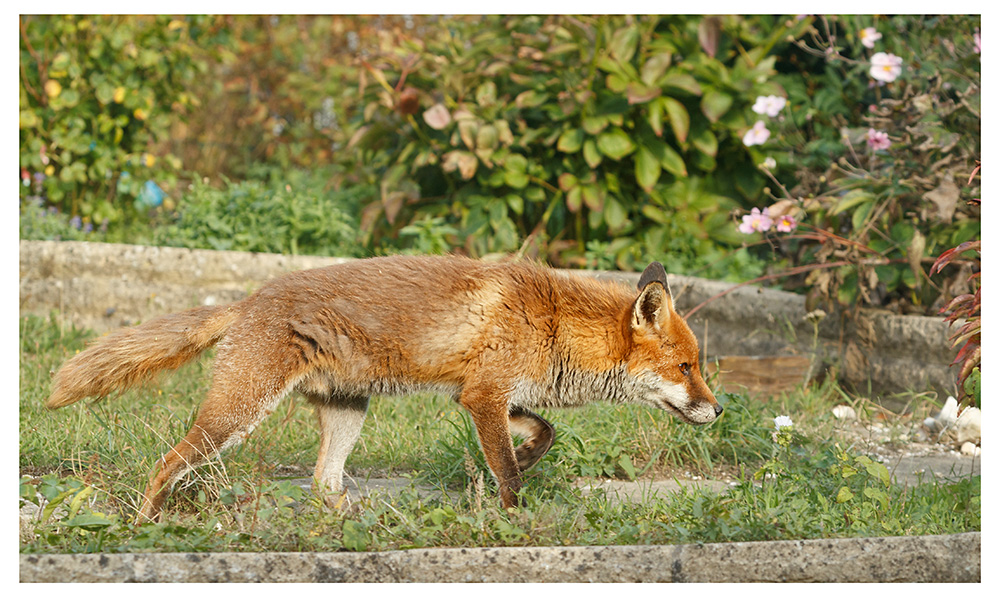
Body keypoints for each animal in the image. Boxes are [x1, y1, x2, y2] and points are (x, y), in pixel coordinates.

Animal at [46, 255, 721, 520]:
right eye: (688, 367)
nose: (718, 410)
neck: (553, 321)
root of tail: (250, 300)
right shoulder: (482, 396)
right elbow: (506, 473)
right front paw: (515, 520)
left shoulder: (480, 393)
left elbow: (543, 432)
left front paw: (529, 457)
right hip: (235, 415)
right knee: (165, 464)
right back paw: (145, 525)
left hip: (348, 411)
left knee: (323, 484)